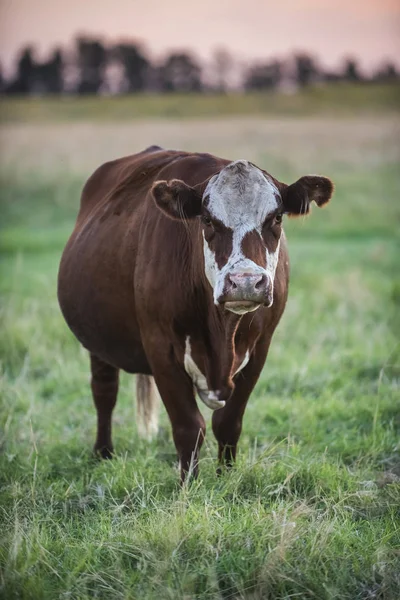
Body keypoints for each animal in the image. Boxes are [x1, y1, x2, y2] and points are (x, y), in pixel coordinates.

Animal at [57, 148, 334, 480]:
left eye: (276, 217)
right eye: (208, 219)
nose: (245, 282)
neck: (223, 333)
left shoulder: (261, 347)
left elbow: (228, 423)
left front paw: (226, 477)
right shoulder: (161, 348)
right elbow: (189, 428)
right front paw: (188, 484)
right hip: (98, 341)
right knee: (104, 392)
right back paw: (103, 453)